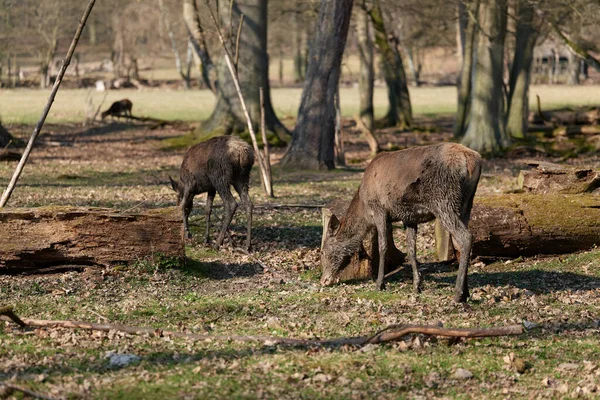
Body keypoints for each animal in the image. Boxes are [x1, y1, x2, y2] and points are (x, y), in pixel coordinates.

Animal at [318, 142, 482, 302]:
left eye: (323, 251)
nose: (323, 280)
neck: (364, 210)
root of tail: (473, 161)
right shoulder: (409, 218)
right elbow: (411, 250)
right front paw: (416, 286)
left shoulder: (379, 210)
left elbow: (383, 246)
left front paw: (379, 284)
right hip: (466, 203)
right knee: (460, 241)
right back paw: (466, 292)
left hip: (444, 200)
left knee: (466, 237)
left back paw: (458, 294)